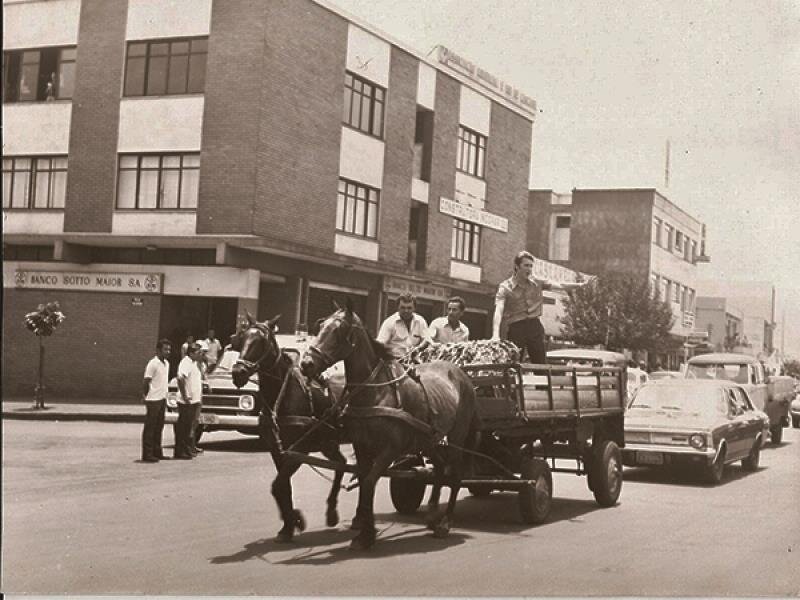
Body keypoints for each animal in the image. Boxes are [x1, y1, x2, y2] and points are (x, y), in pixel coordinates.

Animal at [230, 316, 346, 548]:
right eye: (242, 338)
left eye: (261, 342)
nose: (238, 373)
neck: (282, 393)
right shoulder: (278, 450)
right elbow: (283, 487)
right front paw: (288, 525)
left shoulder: (300, 449)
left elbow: (277, 485)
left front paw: (295, 520)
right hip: (328, 442)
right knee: (342, 464)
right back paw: (333, 512)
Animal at [298, 304, 476, 548]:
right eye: (321, 325)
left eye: (339, 330)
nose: (306, 364)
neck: (375, 389)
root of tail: (460, 373)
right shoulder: (361, 446)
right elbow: (364, 481)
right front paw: (363, 526)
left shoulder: (390, 449)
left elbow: (369, 483)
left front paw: (367, 533)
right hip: (428, 438)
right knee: (440, 468)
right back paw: (431, 516)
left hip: (458, 437)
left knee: (455, 476)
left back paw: (445, 523)